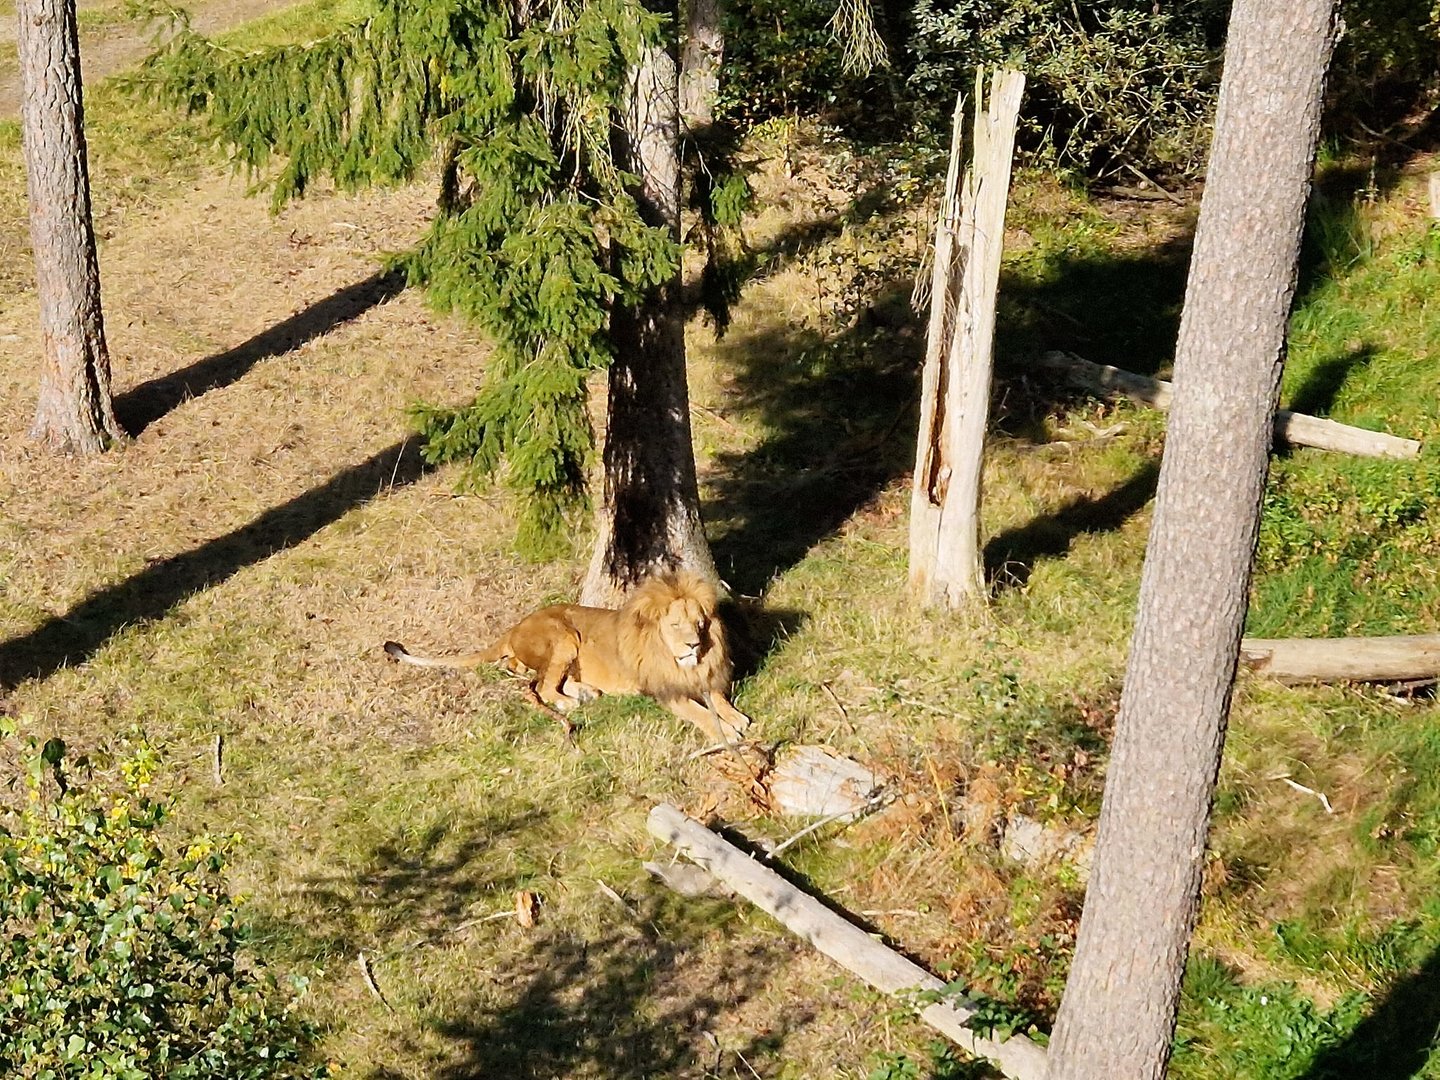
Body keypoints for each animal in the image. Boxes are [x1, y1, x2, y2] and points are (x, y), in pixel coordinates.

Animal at [383, 571, 751, 743]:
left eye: (699, 623)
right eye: (675, 625)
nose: (693, 645)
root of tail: (514, 627)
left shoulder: (702, 676)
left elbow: (717, 698)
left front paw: (736, 717)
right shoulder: (663, 690)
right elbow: (699, 712)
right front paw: (728, 732)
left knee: (532, 675)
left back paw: (586, 692)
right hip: (564, 636)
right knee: (542, 687)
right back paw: (569, 702)